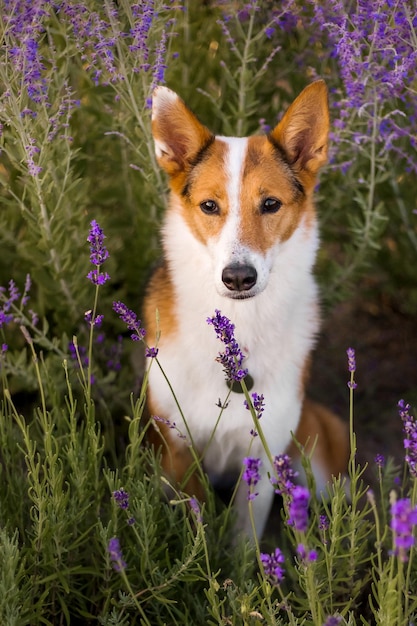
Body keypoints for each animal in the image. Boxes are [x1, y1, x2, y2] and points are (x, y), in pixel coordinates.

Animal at [143, 79, 348, 536]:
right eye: (209, 206)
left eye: (270, 204)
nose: (238, 277)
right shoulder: (178, 451)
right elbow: (197, 523)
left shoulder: (265, 455)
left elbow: (245, 539)